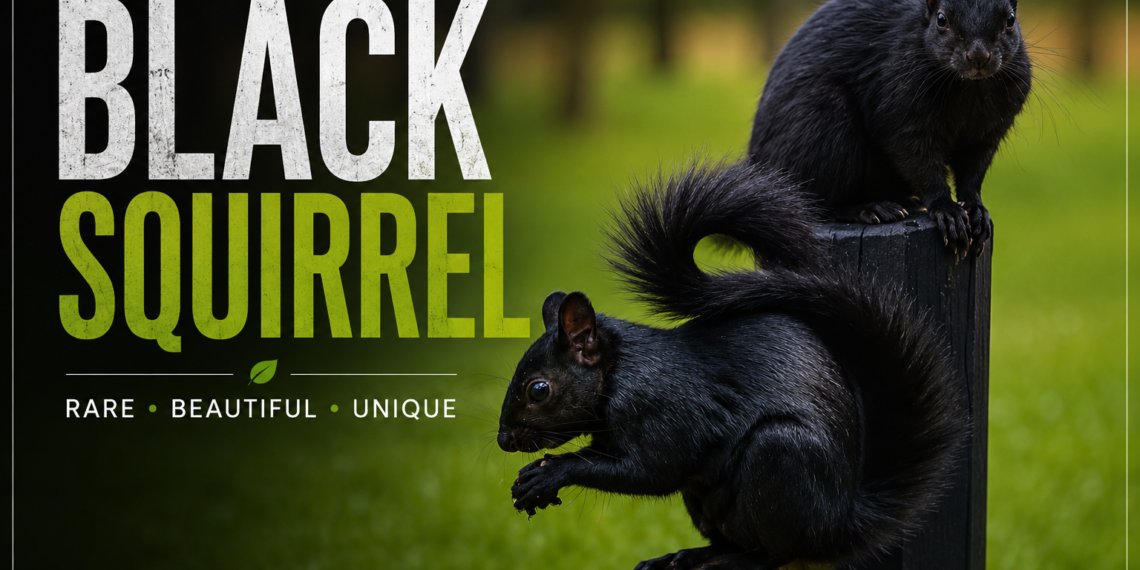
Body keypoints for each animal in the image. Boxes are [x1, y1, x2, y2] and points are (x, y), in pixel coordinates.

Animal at [496, 161, 968, 570]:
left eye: (538, 390)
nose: (504, 440)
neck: (619, 372)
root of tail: (839, 526)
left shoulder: (665, 408)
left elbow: (652, 470)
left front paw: (553, 473)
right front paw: (531, 476)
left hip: (780, 458)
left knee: (777, 550)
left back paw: (745, 560)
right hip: (707, 503)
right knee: (729, 539)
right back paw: (685, 556)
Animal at [747, 0, 1031, 260]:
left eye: (1010, 19)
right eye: (941, 19)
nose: (979, 57)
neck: (970, 86)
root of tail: (759, 163)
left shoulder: (988, 133)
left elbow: (973, 173)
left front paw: (976, 210)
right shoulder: (900, 104)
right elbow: (918, 160)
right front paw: (946, 209)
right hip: (824, 122)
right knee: (817, 205)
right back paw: (869, 209)